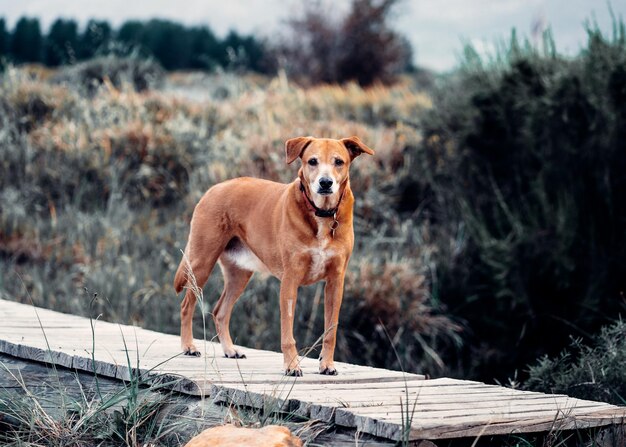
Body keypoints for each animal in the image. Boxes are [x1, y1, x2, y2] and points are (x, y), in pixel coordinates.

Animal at [173, 135, 372, 376]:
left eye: (339, 162)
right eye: (312, 161)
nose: (325, 183)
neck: (322, 214)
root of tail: (214, 188)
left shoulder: (335, 282)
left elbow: (331, 330)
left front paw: (327, 364)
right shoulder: (290, 281)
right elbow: (288, 333)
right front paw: (292, 365)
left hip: (239, 274)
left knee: (220, 311)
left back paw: (230, 350)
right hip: (201, 263)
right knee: (187, 305)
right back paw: (188, 346)